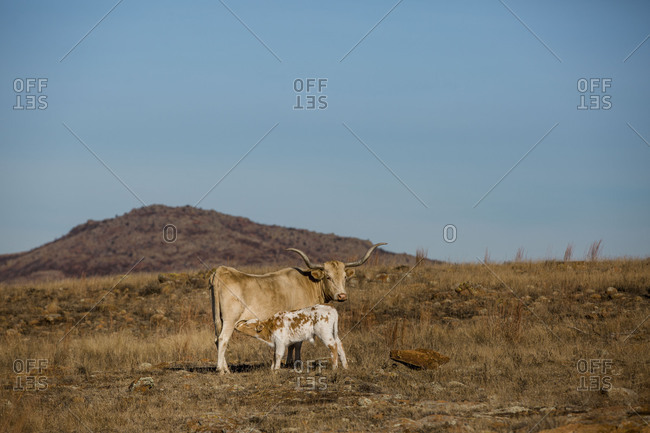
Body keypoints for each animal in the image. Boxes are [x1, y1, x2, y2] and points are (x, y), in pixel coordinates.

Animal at [209, 242, 386, 373]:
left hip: (219, 319)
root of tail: (221, 271)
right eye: (328, 277)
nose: (342, 296)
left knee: (217, 339)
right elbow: (297, 343)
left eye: (344, 277)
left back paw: (225, 368)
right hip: (230, 320)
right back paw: (221, 370)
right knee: (223, 339)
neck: (309, 283)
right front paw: (295, 363)